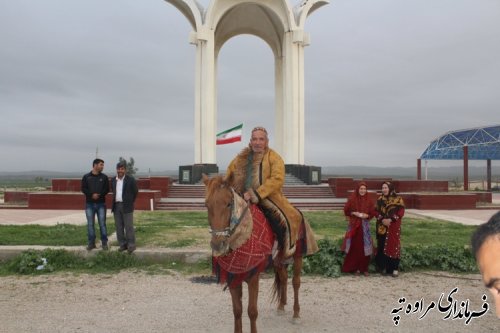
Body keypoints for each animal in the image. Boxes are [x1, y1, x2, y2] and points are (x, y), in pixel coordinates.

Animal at [203, 174, 308, 332]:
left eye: (229, 204)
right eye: (207, 205)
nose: (217, 244)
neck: (244, 236)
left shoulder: (253, 277)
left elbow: (252, 311)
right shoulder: (233, 276)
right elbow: (237, 311)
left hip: (297, 256)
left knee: (296, 282)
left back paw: (296, 314)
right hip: (278, 260)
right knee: (283, 278)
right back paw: (281, 306)